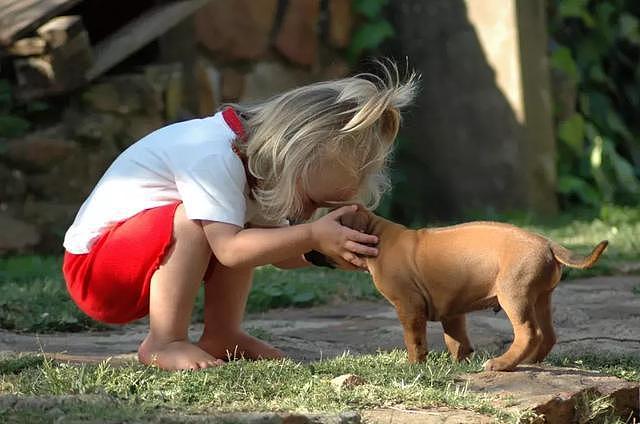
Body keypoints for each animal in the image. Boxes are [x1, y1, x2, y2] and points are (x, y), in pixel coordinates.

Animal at [340, 210, 604, 370]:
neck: (378, 234)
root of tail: (548, 243)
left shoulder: (409, 306)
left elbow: (415, 340)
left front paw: (415, 366)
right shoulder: (452, 310)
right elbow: (457, 340)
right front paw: (458, 363)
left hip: (514, 296)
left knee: (530, 333)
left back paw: (501, 364)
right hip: (540, 299)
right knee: (548, 335)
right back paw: (528, 362)